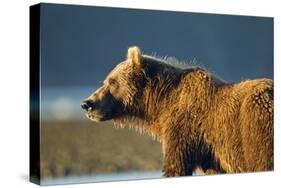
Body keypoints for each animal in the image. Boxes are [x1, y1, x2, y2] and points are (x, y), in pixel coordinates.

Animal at [80, 46, 272, 177]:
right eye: (105, 80)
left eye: (112, 82)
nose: (87, 103)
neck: (162, 103)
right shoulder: (211, 155)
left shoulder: (186, 127)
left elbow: (176, 165)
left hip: (255, 124)